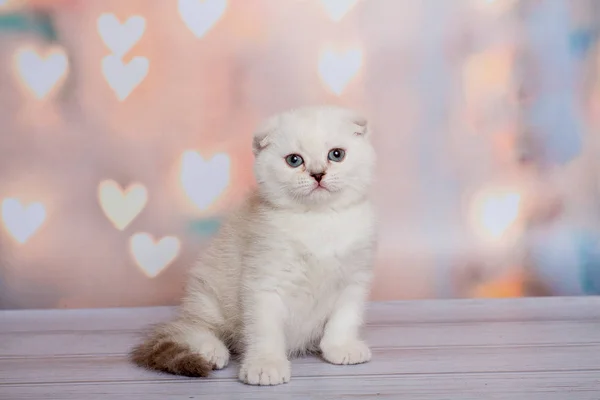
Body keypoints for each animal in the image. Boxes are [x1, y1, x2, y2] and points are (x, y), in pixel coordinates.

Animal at [131, 104, 378, 386]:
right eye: (294, 160)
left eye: (336, 154)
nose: (317, 174)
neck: (318, 220)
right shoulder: (264, 282)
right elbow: (265, 330)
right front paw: (265, 365)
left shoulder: (353, 280)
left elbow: (344, 319)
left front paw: (341, 347)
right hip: (208, 295)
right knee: (195, 328)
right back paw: (210, 351)